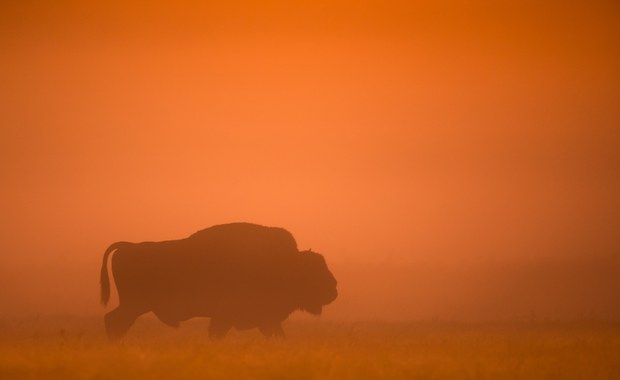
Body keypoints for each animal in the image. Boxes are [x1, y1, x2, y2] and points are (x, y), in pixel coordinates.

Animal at [100, 221, 340, 340]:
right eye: (314, 271)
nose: (333, 289)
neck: (285, 263)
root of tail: (128, 246)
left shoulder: (262, 319)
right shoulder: (233, 316)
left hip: (133, 306)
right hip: (134, 305)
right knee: (114, 322)